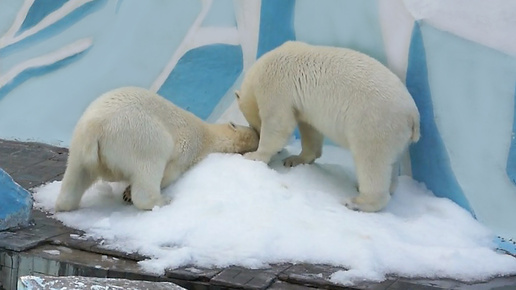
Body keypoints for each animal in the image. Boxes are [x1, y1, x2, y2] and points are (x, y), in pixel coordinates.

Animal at [56, 86, 258, 211]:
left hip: (79, 145)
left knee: (75, 176)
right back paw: (162, 200)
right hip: (139, 135)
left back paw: (65, 204)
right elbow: (170, 172)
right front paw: (128, 193)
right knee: (150, 165)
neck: (206, 134)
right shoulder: (187, 148)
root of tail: (95, 127)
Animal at [236, 40, 422, 212]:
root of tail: (413, 115)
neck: (259, 68)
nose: (255, 132)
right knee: (391, 164)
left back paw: (357, 201)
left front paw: (254, 155)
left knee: (371, 160)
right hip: (395, 135)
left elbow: (278, 123)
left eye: (253, 124)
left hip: (374, 123)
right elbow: (310, 130)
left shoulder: (275, 83)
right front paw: (294, 159)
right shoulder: (305, 108)